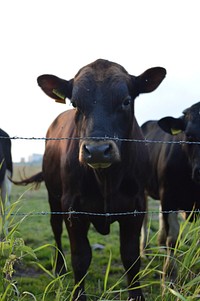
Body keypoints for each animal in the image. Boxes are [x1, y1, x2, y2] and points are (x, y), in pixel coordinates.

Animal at [13, 59, 166, 300]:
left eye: (126, 101)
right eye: (75, 103)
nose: (97, 151)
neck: (106, 180)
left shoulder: (136, 207)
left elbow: (131, 257)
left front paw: (137, 295)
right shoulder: (73, 207)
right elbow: (80, 258)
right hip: (53, 196)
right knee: (55, 228)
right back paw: (59, 267)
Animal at [141, 102, 200, 280]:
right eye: (189, 135)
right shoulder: (169, 197)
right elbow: (172, 239)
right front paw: (169, 277)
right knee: (145, 218)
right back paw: (144, 250)